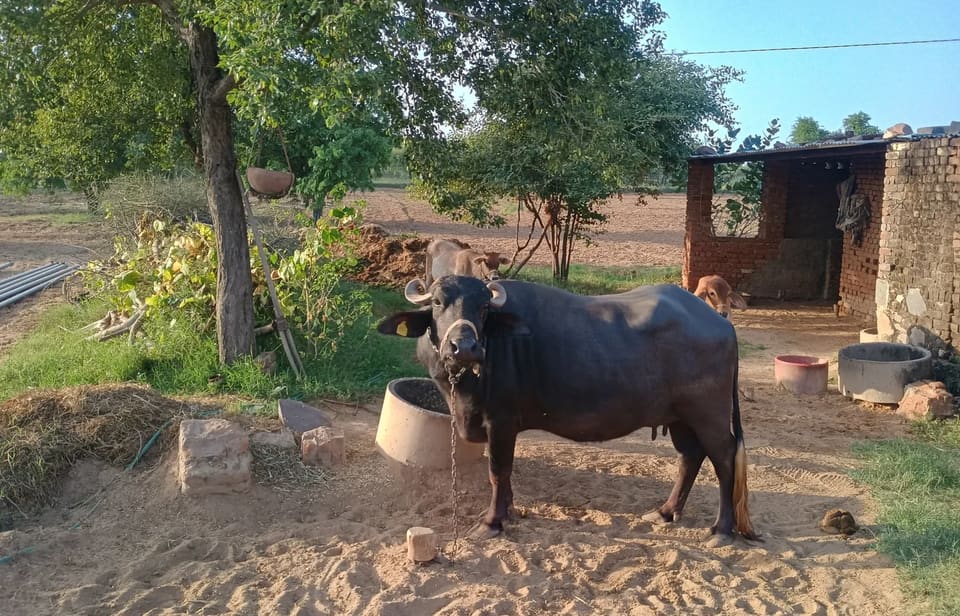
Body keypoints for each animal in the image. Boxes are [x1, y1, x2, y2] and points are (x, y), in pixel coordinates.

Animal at [378, 275, 757, 541]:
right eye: (438, 302)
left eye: (484, 308)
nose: (466, 347)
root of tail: (722, 323)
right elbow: (505, 472)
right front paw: (510, 511)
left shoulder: (500, 422)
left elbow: (498, 470)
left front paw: (492, 522)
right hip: (679, 417)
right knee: (690, 457)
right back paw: (664, 512)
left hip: (709, 415)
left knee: (724, 460)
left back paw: (721, 530)